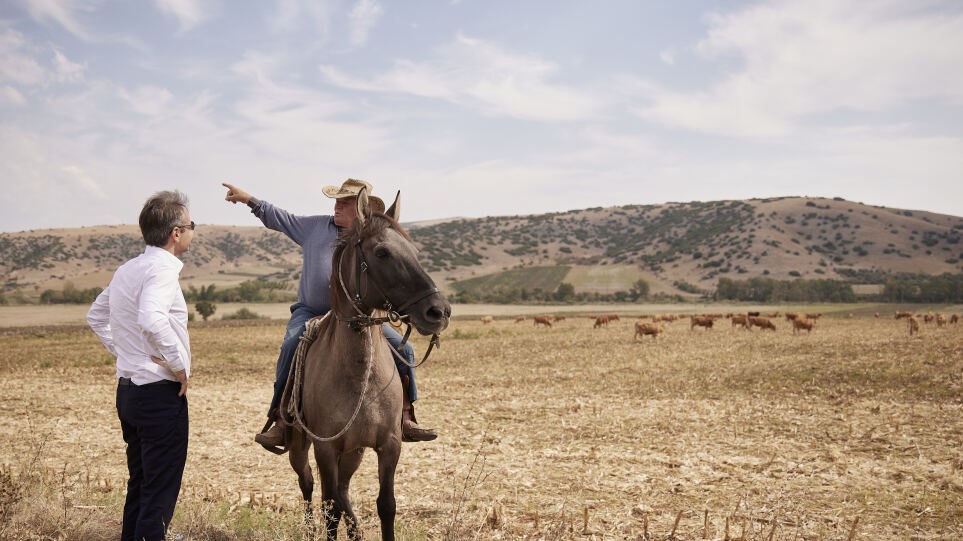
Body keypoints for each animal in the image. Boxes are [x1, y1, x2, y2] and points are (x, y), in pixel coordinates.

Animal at [282, 188, 452, 536]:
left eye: (413, 251)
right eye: (382, 252)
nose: (438, 312)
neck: (360, 374)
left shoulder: (389, 445)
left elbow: (386, 505)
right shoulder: (325, 448)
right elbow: (330, 509)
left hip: (354, 452)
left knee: (343, 489)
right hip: (302, 447)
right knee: (309, 484)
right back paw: (310, 528)